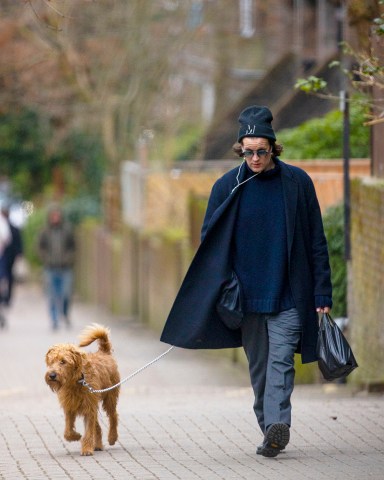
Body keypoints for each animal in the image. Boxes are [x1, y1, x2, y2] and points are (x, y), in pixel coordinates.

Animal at [45, 324, 120, 456]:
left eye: (63, 361)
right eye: (51, 361)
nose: (52, 375)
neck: (77, 381)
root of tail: (104, 352)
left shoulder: (89, 407)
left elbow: (89, 430)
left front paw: (87, 449)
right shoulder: (70, 407)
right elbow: (68, 431)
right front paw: (76, 436)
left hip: (109, 397)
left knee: (113, 416)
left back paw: (112, 437)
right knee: (98, 426)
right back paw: (98, 445)